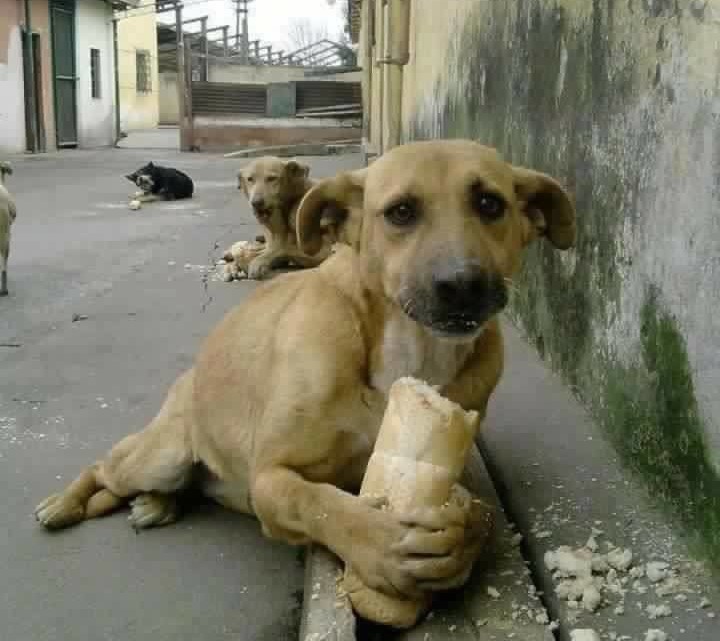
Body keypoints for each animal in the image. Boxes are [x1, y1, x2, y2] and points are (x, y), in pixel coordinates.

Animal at [33, 140, 576, 608]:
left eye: (490, 203)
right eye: (401, 211)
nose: (463, 284)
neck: (407, 349)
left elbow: (478, 513)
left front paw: (460, 542)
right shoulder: (271, 478)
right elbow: (318, 503)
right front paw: (381, 546)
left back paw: (157, 505)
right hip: (159, 454)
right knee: (104, 466)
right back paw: (64, 504)